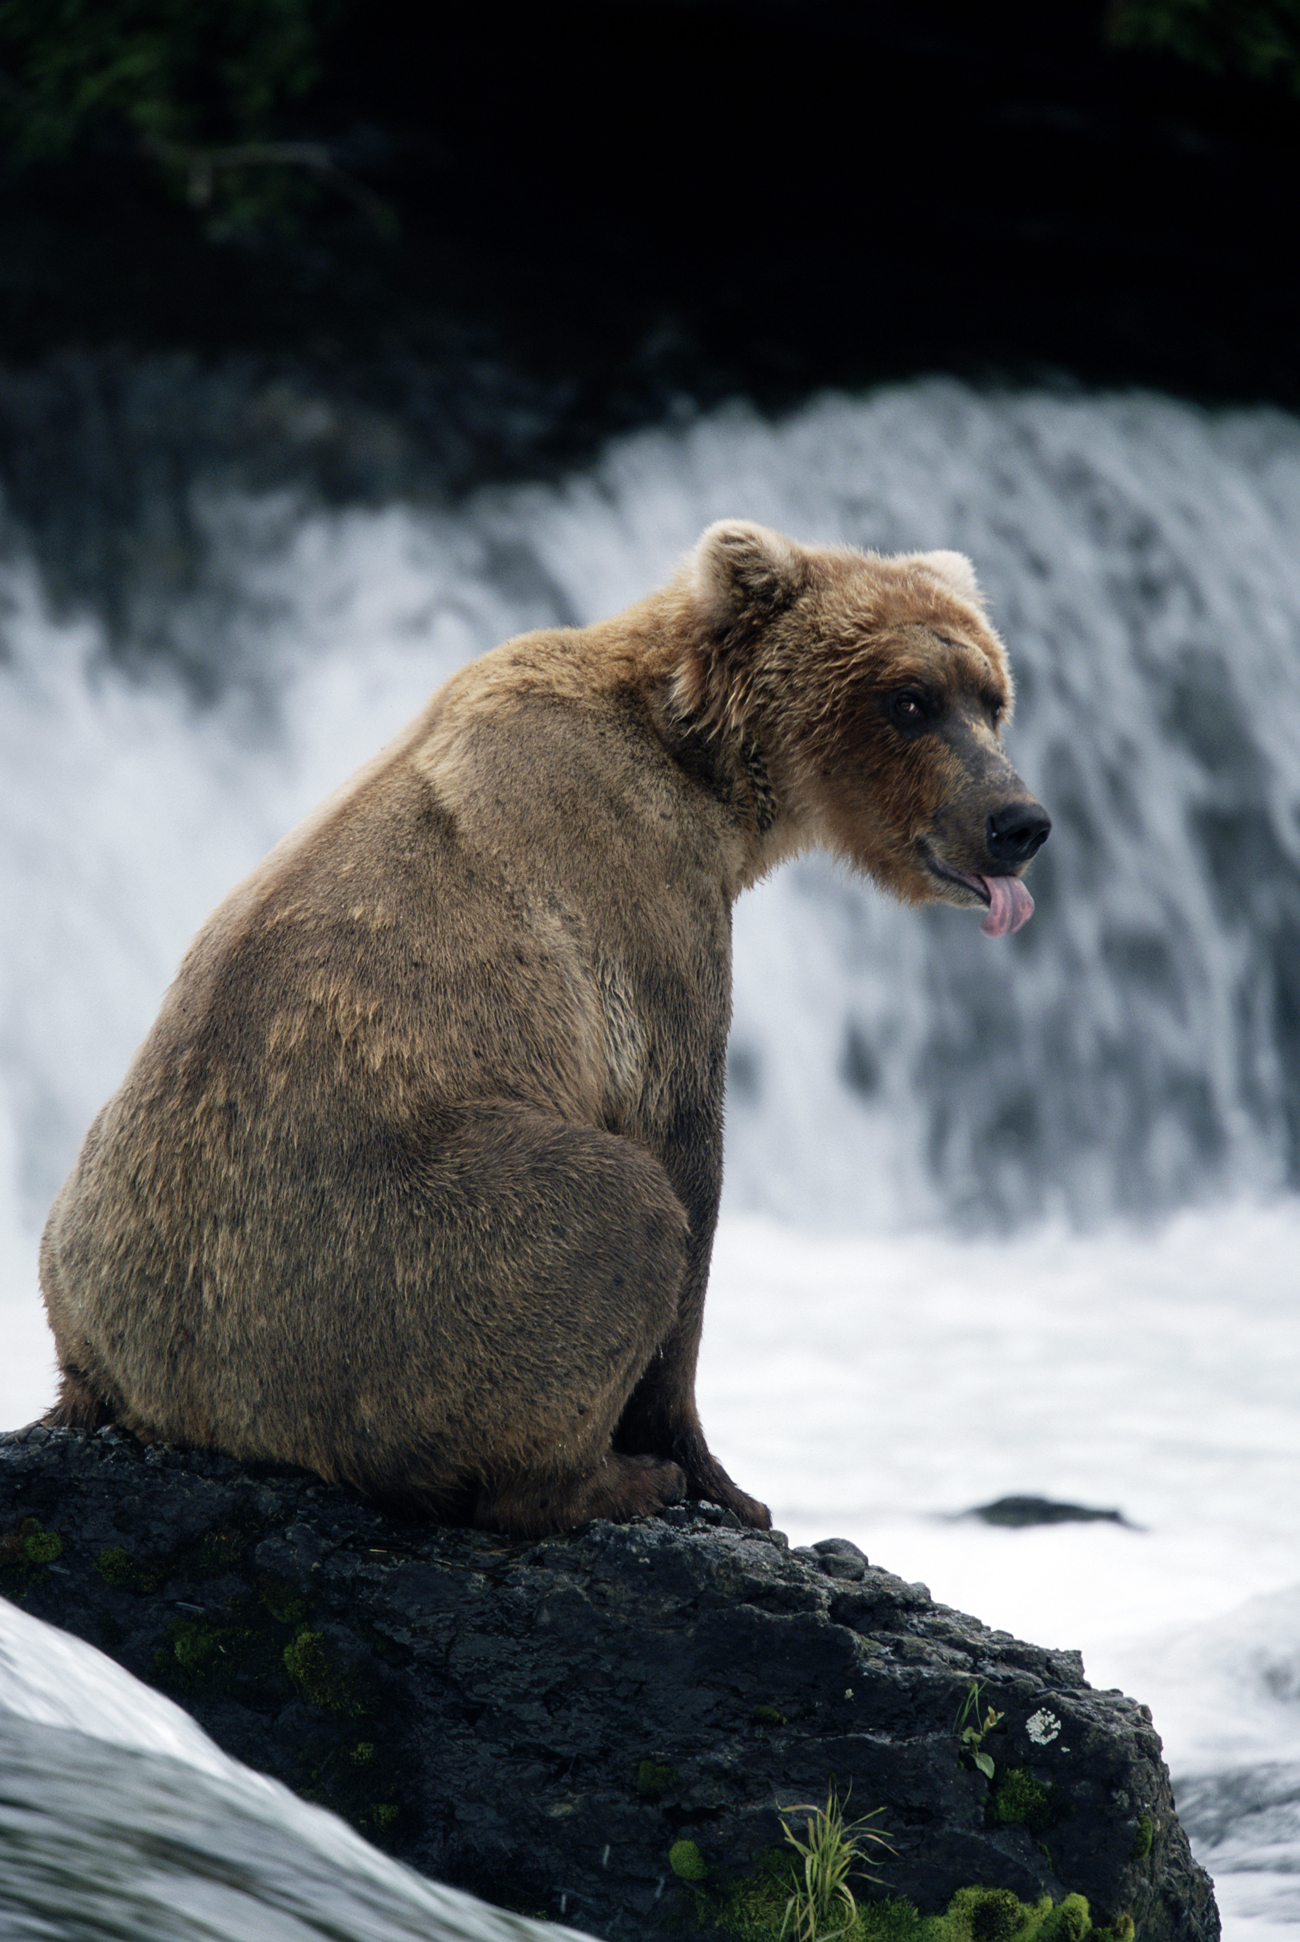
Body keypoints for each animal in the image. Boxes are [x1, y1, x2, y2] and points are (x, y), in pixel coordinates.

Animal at [40, 524, 1049, 1538]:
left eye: (992, 696)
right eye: (909, 699)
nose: (1019, 822)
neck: (710, 773)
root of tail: (177, 1388)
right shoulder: (641, 900)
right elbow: (683, 1158)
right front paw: (721, 1480)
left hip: (80, 1228)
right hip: (367, 1265)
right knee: (612, 1211)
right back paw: (609, 1478)